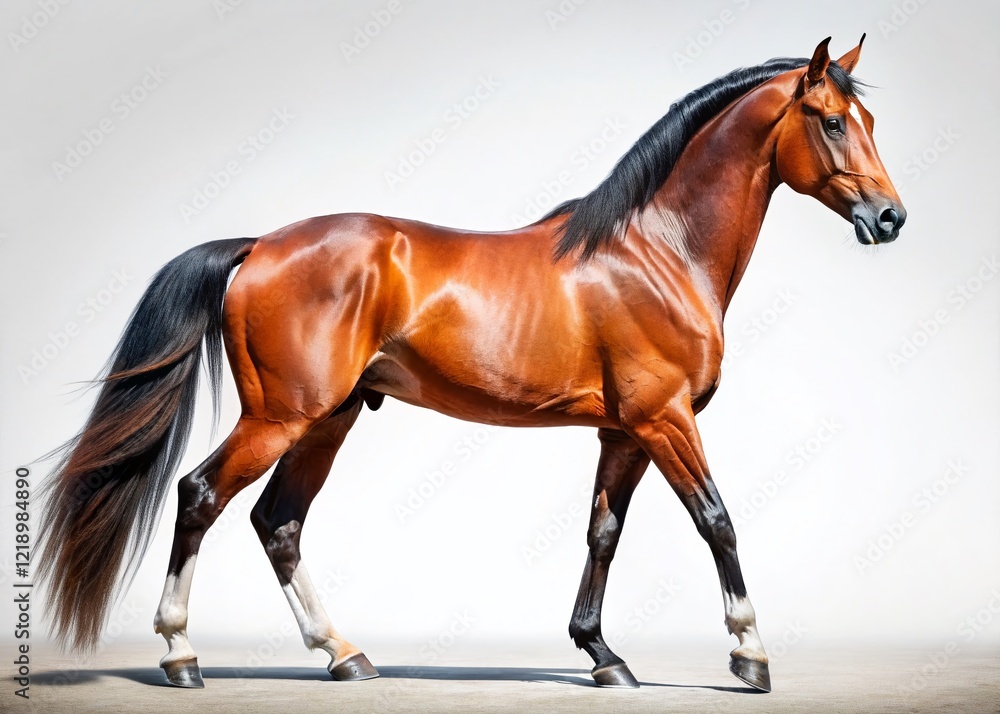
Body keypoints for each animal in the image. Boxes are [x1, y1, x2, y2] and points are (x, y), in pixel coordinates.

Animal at [38, 36, 905, 693]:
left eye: (866, 117)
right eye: (832, 122)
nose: (890, 217)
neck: (656, 250)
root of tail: (259, 246)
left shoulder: (622, 434)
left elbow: (603, 533)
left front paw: (602, 655)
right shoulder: (665, 420)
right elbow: (717, 520)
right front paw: (749, 654)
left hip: (328, 421)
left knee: (276, 522)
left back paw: (345, 655)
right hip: (281, 417)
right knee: (200, 496)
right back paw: (182, 655)